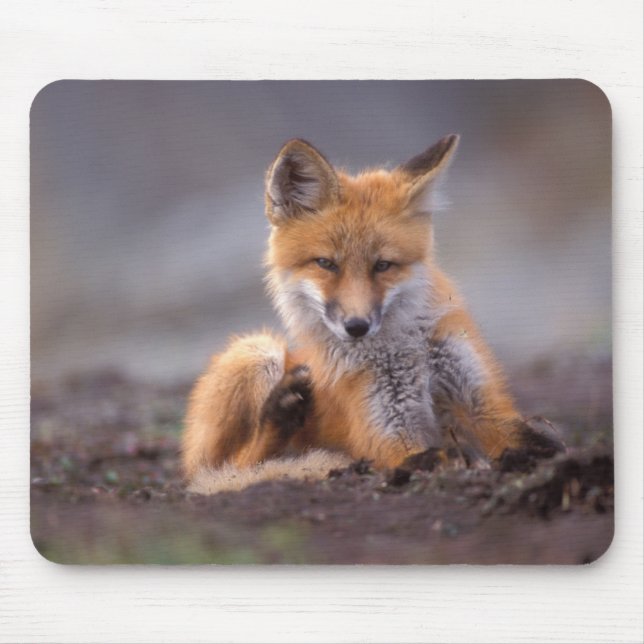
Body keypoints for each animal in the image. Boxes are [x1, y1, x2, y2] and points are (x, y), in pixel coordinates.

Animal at [182, 135, 565, 494]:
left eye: (383, 265)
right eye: (326, 264)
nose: (356, 326)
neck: (406, 349)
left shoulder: (483, 405)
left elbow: (538, 441)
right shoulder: (387, 433)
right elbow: (429, 456)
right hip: (256, 351)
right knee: (233, 466)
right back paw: (280, 415)